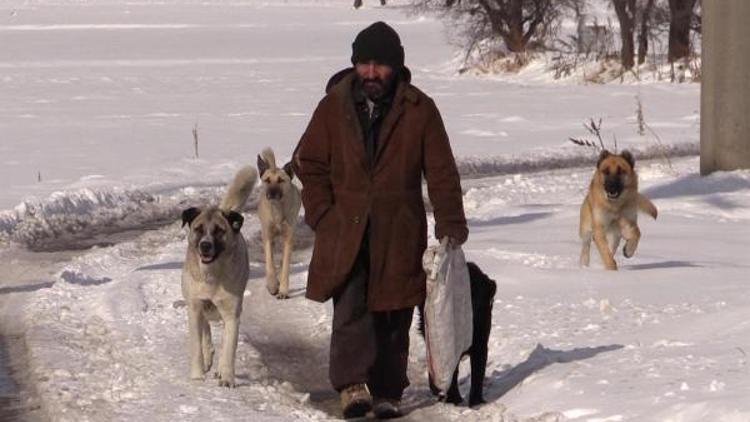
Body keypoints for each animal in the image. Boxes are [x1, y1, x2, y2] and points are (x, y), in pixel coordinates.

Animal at [181, 165, 258, 386]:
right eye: (198, 229)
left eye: (218, 231)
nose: (205, 245)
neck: (212, 275)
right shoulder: (194, 306)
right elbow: (196, 344)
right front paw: (197, 375)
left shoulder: (232, 312)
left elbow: (229, 346)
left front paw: (226, 378)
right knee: (205, 329)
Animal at [258, 148, 302, 300]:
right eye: (267, 180)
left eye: (281, 180)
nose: (272, 192)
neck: (277, 210)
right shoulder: (267, 235)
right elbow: (270, 263)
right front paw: (272, 286)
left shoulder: (288, 237)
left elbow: (285, 266)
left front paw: (283, 291)